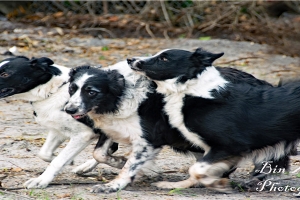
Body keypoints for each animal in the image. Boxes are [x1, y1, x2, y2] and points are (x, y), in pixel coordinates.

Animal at [0, 56, 127, 189]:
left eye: (5, 74)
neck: (53, 91)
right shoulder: (58, 131)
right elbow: (44, 153)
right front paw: (66, 160)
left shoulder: (83, 135)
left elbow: (59, 160)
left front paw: (41, 180)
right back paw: (86, 167)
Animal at [127, 48, 300, 192]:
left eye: (163, 58)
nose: (130, 59)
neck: (192, 90)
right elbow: (201, 169)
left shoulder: (230, 145)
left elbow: (196, 169)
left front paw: (214, 183)